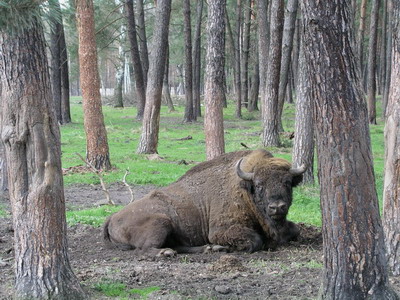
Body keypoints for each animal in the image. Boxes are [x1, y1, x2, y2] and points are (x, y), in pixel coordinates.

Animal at [104, 150, 306, 255]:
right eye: (259, 185)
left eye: (288, 182)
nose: (277, 207)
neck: (244, 189)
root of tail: (112, 217)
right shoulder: (220, 230)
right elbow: (255, 241)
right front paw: (230, 247)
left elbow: (295, 229)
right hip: (162, 222)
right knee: (145, 249)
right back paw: (167, 252)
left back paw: (208, 248)